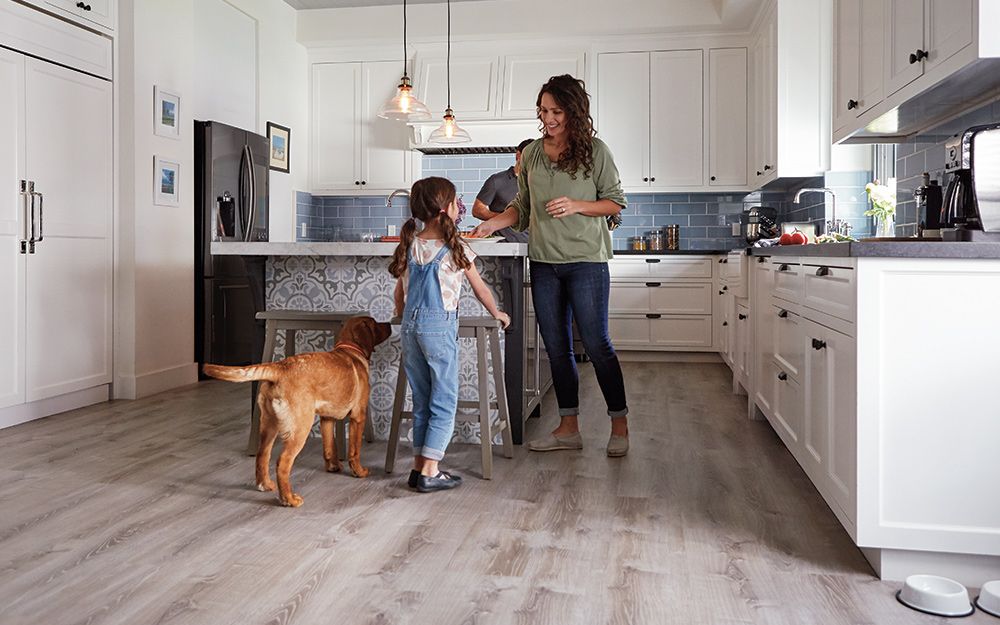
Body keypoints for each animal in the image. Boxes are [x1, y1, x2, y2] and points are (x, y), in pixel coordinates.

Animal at [202, 316, 390, 508]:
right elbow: (354, 451)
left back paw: (265, 484)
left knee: (262, 455)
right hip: (300, 427)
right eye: (375, 323)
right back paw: (289, 499)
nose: (389, 324)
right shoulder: (358, 416)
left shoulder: (326, 418)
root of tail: (279, 367)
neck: (350, 349)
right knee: (283, 462)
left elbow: (329, 447)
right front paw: (359, 472)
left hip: (269, 424)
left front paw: (333, 467)